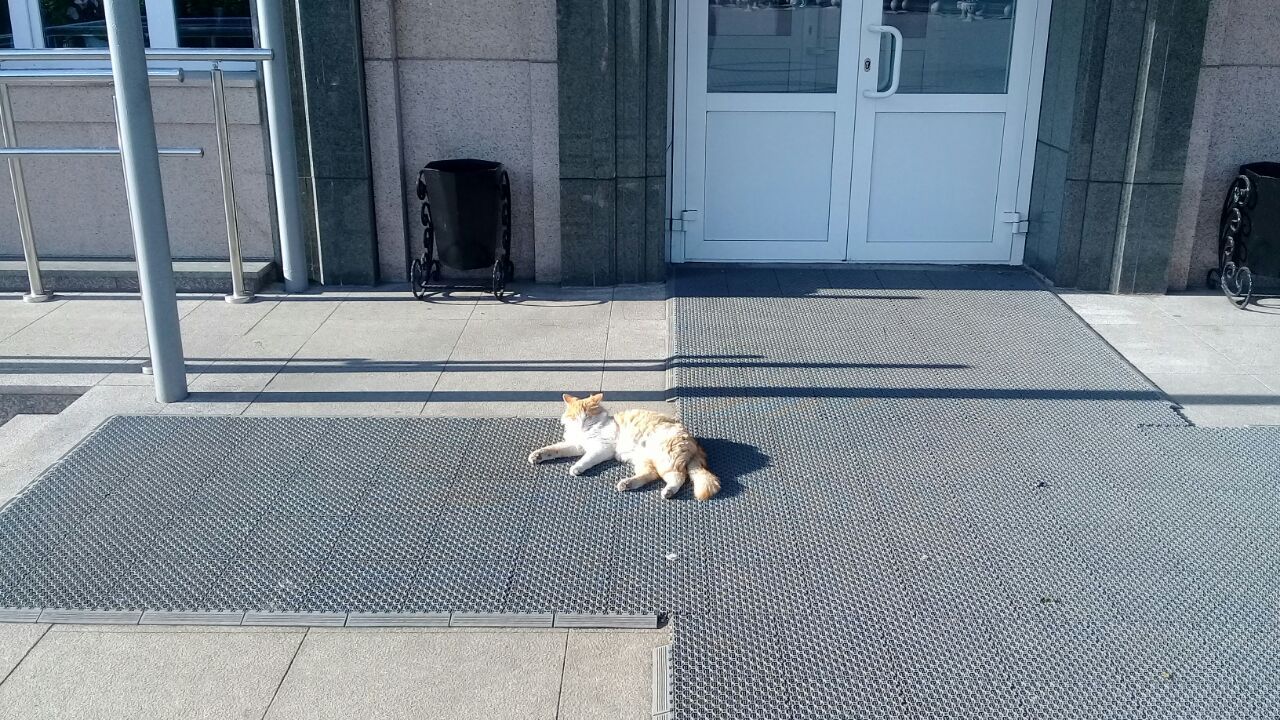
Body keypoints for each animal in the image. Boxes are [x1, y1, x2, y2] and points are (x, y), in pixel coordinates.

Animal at [527, 392, 721, 499]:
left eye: (588, 417)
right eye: (575, 417)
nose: (582, 424)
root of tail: (694, 442)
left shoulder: (601, 448)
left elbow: (586, 459)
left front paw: (577, 467)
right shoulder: (576, 445)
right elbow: (555, 449)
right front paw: (537, 455)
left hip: (665, 459)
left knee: (679, 477)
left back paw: (668, 492)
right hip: (645, 460)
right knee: (651, 475)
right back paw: (627, 484)